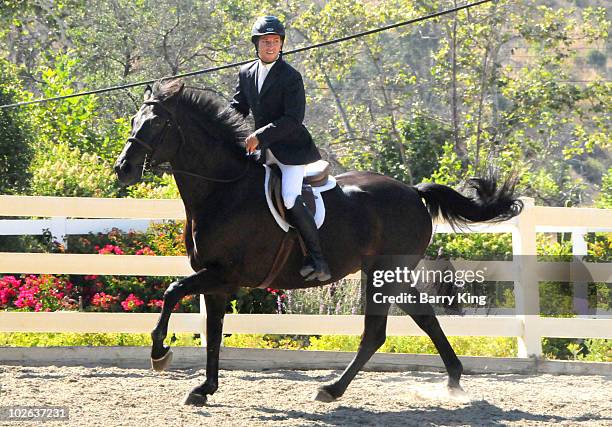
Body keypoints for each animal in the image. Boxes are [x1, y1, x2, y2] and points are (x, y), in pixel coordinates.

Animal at [113, 79, 520, 408]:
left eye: (158, 123)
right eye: (133, 121)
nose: (123, 169)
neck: (223, 191)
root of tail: (412, 191)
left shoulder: (224, 275)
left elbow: (171, 292)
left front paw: (160, 352)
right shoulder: (216, 281)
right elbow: (213, 334)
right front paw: (204, 389)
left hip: (382, 273)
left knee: (376, 333)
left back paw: (332, 389)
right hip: (392, 274)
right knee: (424, 319)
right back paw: (452, 380)